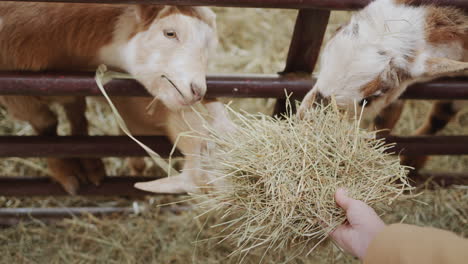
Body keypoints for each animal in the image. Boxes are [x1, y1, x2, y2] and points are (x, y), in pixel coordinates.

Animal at [298, 0, 466, 171]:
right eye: (337, 31)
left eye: (369, 99)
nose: (306, 118)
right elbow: (386, 118)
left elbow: (440, 116)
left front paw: (410, 163)